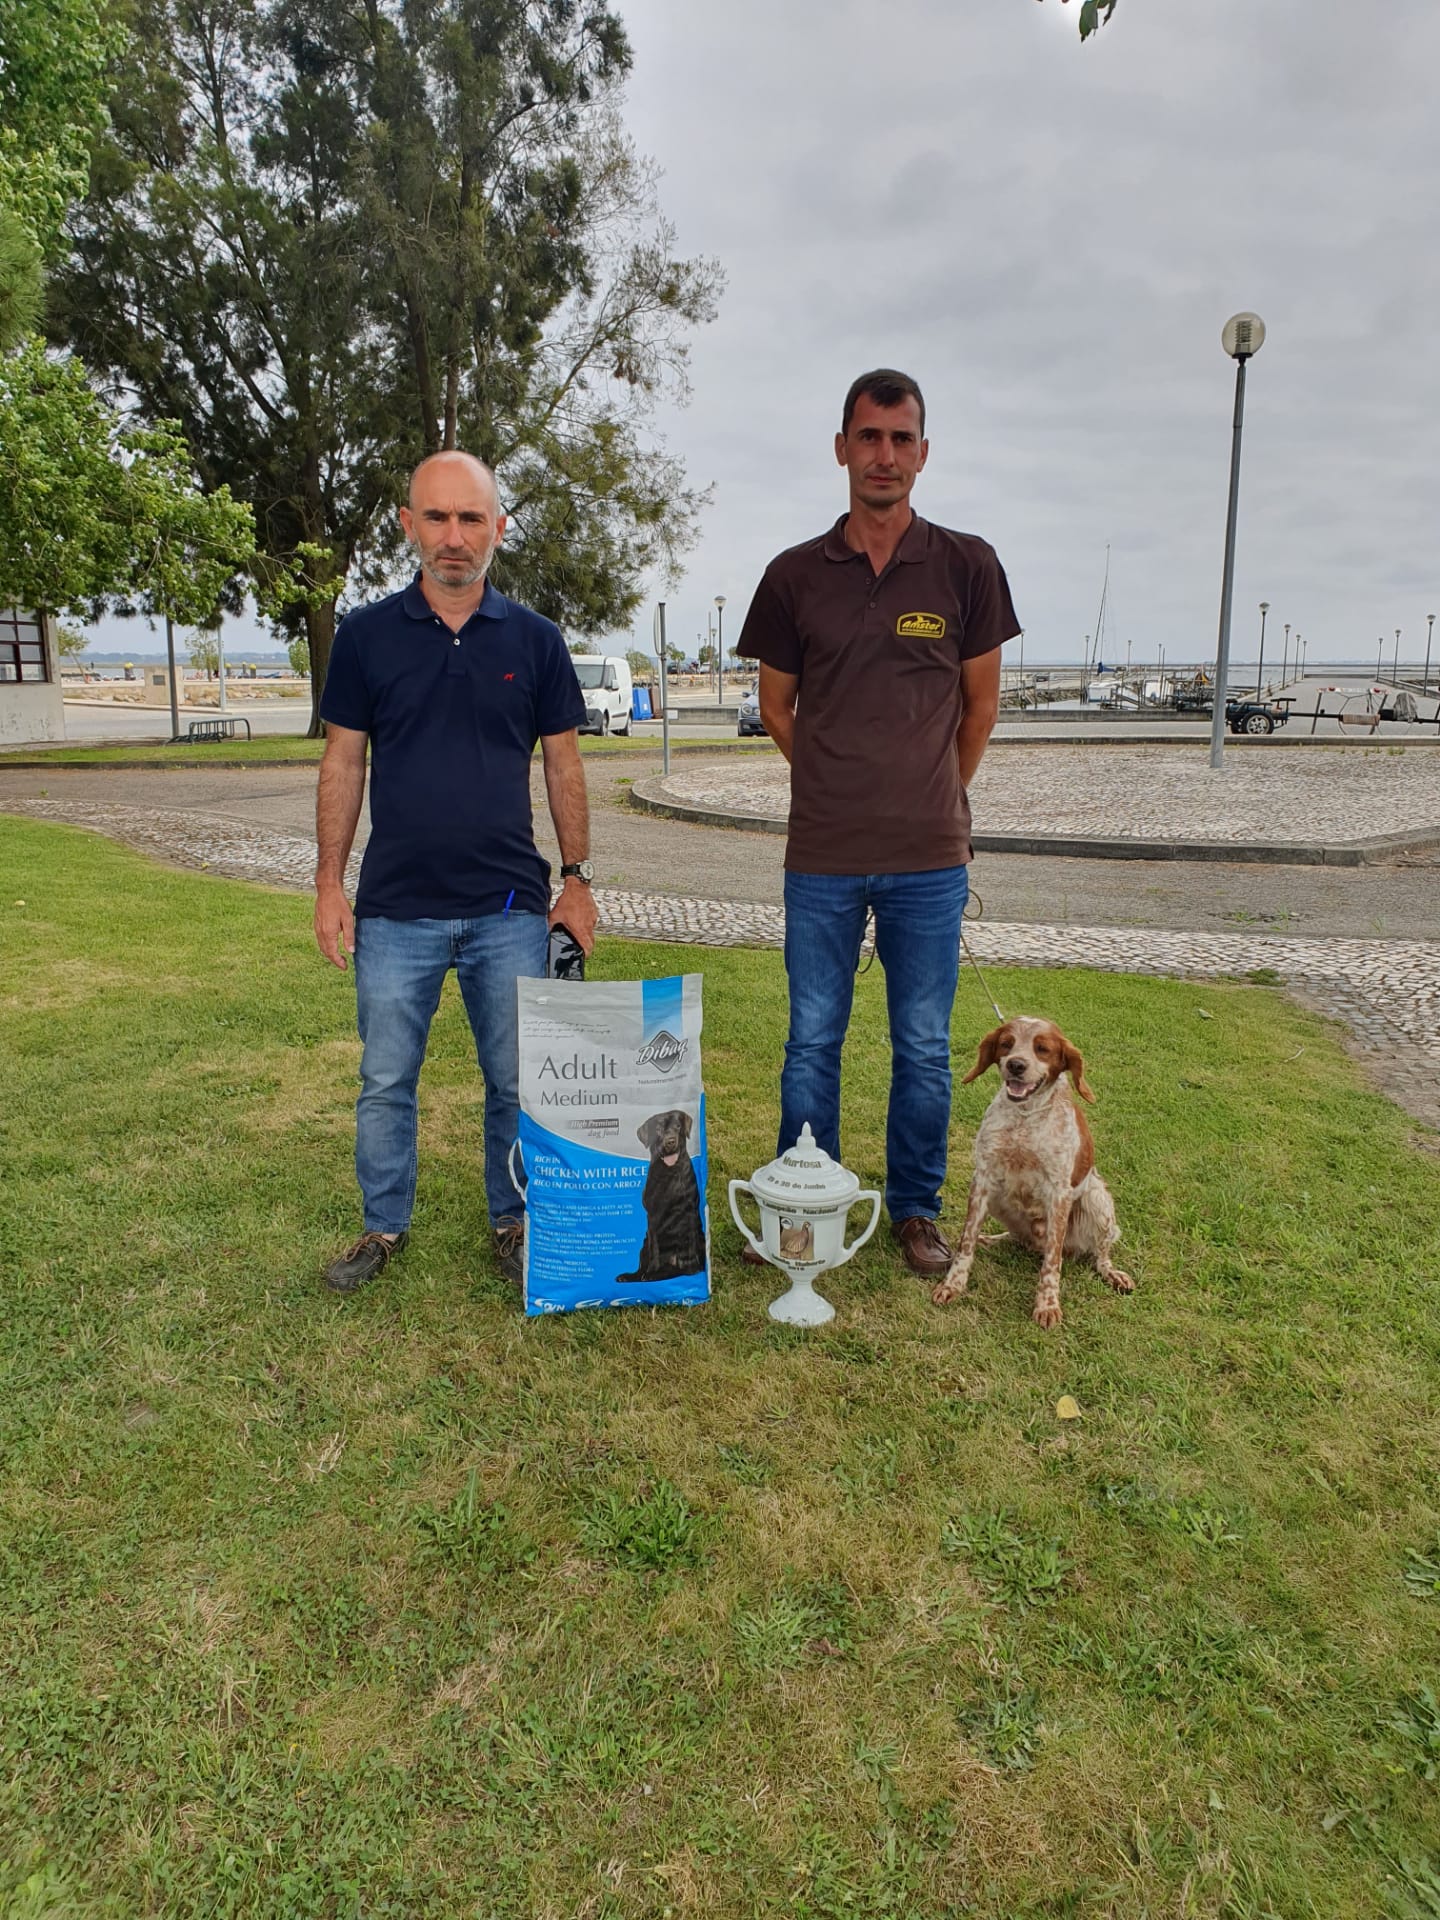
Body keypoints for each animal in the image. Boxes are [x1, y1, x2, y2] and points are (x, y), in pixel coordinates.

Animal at [936, 1021, 1136, 1320]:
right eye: (1006, 1043)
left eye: (1042, 1048)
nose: (1016, 1065)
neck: (1025, 1116)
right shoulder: (982, 1179)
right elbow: (966, 1241)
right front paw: (953, 1285)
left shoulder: (1059, 1192)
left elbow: (1053, 1261)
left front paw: (1047, 1304)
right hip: (999, 1200)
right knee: (1017, 1238)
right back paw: (991, 1239)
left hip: (1098, 1200)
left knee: (1099, 1255)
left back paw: (1113, 1274)